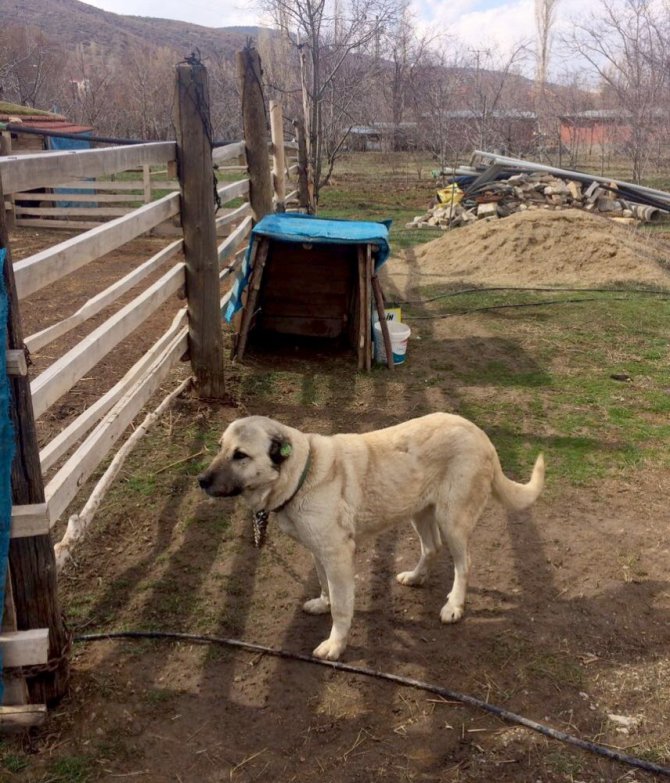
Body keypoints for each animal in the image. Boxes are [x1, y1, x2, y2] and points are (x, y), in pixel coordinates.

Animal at [200, 416, 544, 660]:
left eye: (240, 455)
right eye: (219, 447)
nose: (200, 480)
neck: (302, 473)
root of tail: (480, 434)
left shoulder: (337, 555)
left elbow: (342, 606)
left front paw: (335, 645)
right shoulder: (318, 551)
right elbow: (324, 585)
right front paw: (322, 603)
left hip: (452, 521)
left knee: (464, 564)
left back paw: (454, 606)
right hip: (418, 512)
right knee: (431, 548)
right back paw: (415, 577)